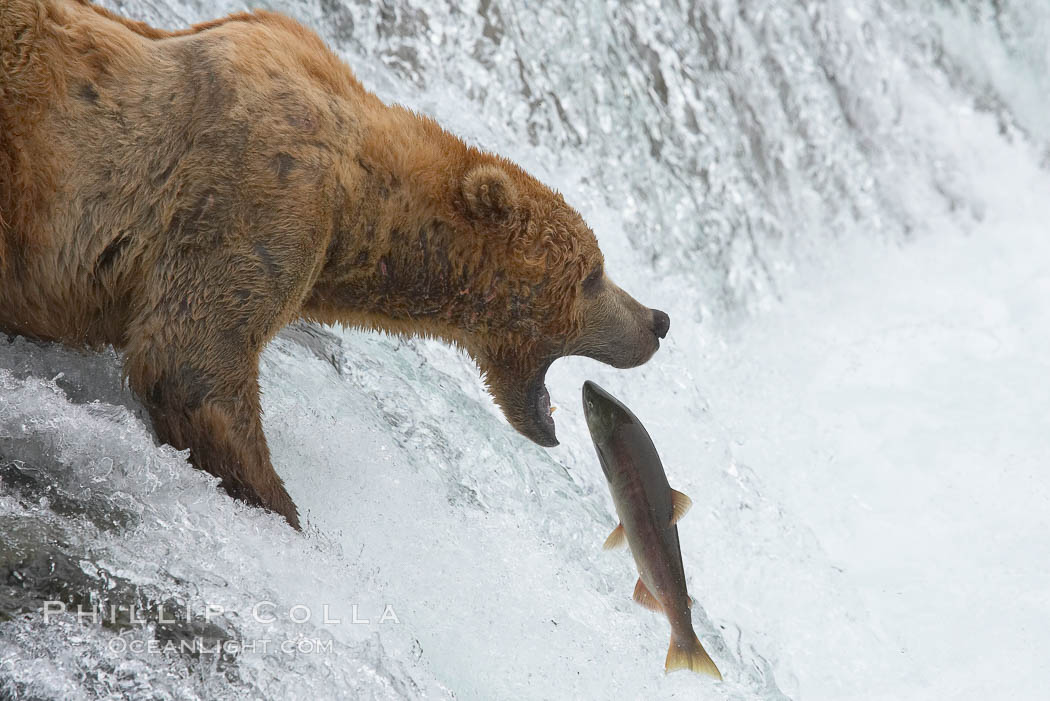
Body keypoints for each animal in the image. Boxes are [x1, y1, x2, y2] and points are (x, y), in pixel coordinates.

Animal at [0, 0, 667, 524]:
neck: (361, 206)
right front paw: (284, 512)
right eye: (593, 274)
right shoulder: (263, 191)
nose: (657, 321)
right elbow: (191, 362)